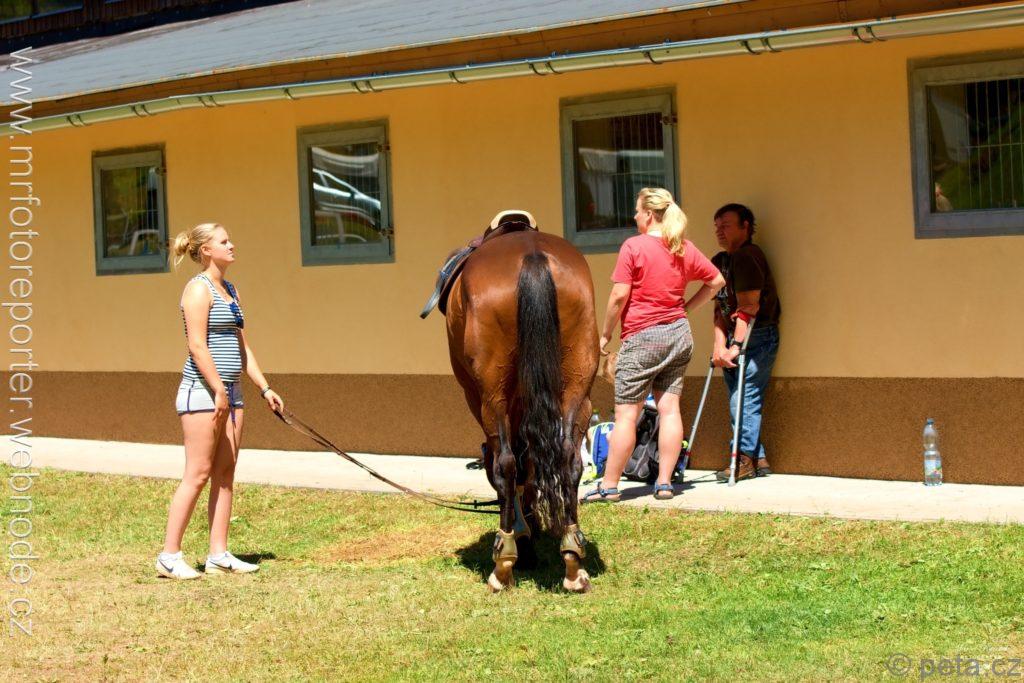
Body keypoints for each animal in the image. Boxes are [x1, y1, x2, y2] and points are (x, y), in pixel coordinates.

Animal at [444, 212, 599, 592]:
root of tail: (531, 255)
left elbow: (512, 468)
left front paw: (520, 542)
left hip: (492, 396)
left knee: (506, 463)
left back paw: (502, 565)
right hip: (578, 384)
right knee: (569, 459)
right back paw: (573, 561)